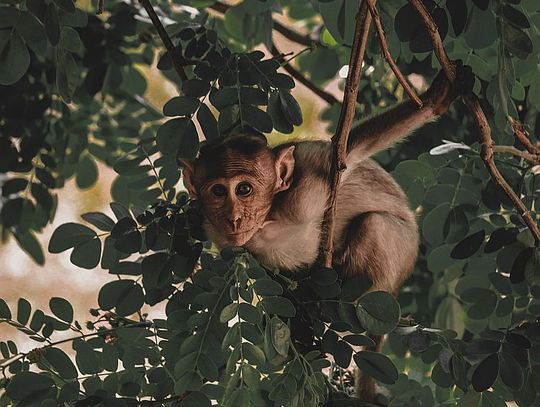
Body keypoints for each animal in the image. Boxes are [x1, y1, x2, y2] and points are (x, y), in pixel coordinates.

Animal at [181, 63, 472, 402]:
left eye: (244, 189)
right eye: (217, 191)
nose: (234, 219)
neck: (269, 219)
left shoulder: (310, 175)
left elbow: (353, 150)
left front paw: (435, 98)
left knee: (375, 224)